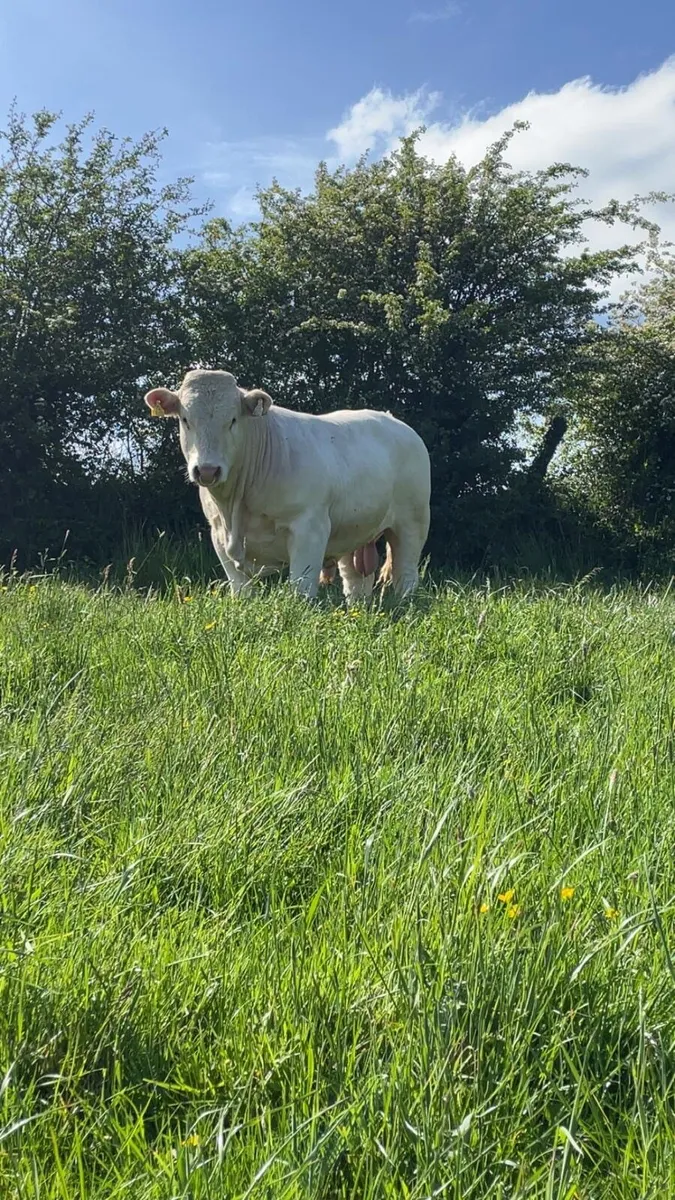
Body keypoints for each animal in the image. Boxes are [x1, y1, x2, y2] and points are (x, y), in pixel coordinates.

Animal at [144, 370, 431, 603]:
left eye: (233, 420)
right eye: (185, 419)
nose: (206, 470)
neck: (235, 509)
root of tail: (396, 423)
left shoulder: (309, 529)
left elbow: (301, 590)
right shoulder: (218, 535)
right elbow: (241, 591)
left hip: (412, 523)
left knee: (405, 575)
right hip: (354, 533)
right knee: (356, 584)